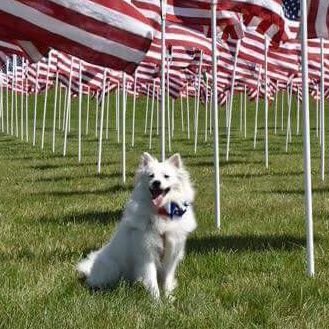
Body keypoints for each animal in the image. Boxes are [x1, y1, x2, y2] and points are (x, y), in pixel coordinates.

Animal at [76, 152, 195, 298]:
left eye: (166, 176)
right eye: (151, 176)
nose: (156, 183)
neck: (160, 213)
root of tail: (91, 270)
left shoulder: (171, 255)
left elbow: (166, 279)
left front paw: (168, 297)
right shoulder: (146, 254)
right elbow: (152, 279)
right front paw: (156, 300)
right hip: (112, 268)